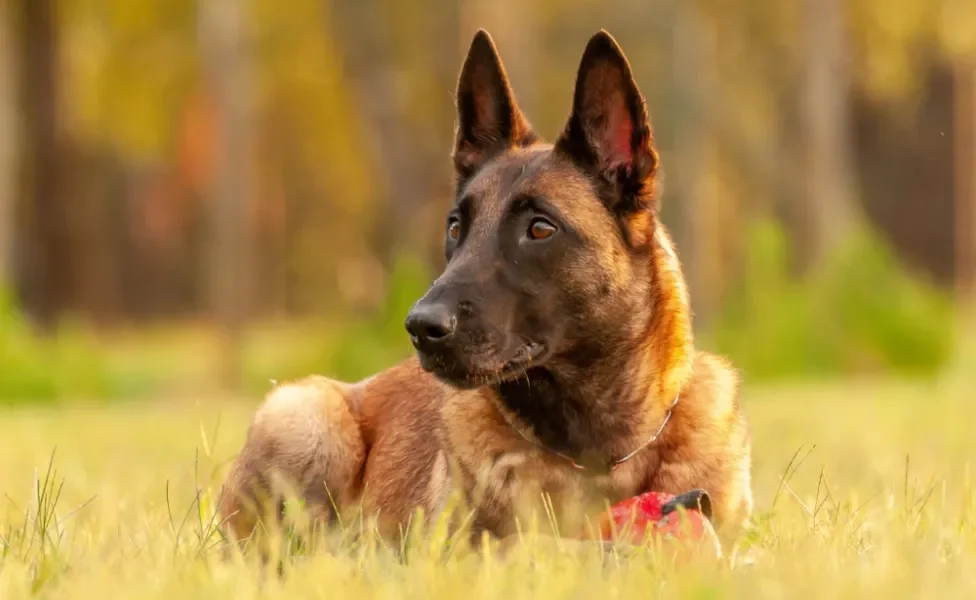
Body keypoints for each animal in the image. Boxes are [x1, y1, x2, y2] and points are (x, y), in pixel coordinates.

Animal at [219, 27, 756, 552]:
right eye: (457, 227)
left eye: (540, 228)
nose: (420, 326)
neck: (598, 457)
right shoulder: (465, 547)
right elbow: (540, 544)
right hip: (309, 419)